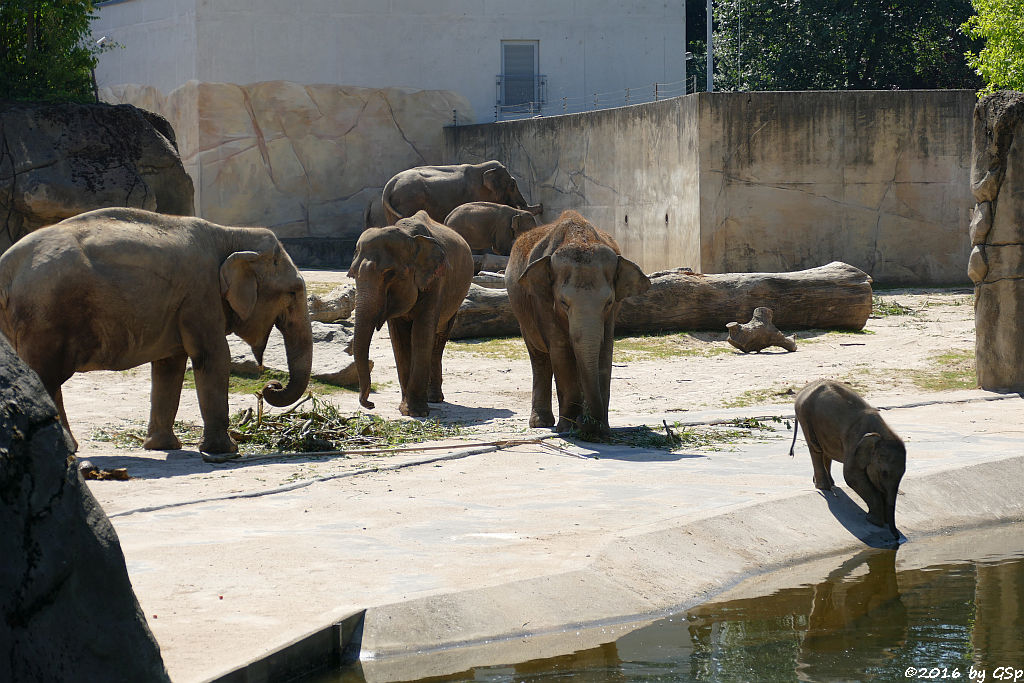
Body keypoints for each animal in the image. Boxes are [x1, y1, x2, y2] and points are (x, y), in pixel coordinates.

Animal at [0, 206, 311, 454]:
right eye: (293, 291)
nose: (270, 386)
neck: (230, 234)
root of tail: (7, 266)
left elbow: (169, 364)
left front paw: (163, 447)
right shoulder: (201, 293)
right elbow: (212, 356)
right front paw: (226, 452)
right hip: (48, 315)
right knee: (45, 377)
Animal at [348, 210, 475, 419]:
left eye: (389, 274)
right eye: (352, 275)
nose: (370, 404)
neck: (410, 238)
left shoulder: (436, 281)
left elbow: (421, 333)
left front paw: (415, 412)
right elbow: (399, 338)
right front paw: (406, 409)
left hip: (456, 300)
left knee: (439, 339)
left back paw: (434, 399)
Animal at [382, 160, 544, 224]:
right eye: (512, 184)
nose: (541, 206)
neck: (481, 168)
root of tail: (389, 185)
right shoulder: (476, 194)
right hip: (408, 201)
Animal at [503, 210, 647, 440]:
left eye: (608, 302)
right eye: (563, 302)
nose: (585, 421)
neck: (579, 237)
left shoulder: (612, 314)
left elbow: (604, 351)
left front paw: (600, 429)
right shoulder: (542, 300)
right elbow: (561, 350)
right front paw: (568, 428)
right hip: (520, 311)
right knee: (539, 357)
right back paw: (540, 423)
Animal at [786, 378, 909, 540]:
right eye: (884, 473)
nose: (897, 538)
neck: (881, 434)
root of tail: (804, 389)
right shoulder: (854, 443)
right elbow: (852, 477)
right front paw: (874, 521)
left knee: (825, 450)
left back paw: (829, 484)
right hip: (805, 416)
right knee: (816, 449)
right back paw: (824, 487)